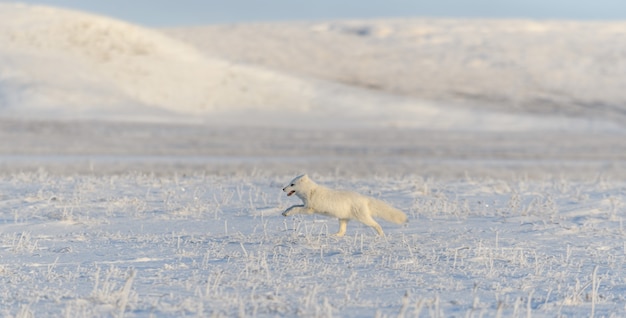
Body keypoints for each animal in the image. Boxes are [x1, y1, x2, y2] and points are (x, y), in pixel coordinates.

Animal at [280, 174, 408, 236]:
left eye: (292, 184)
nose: (283, 189)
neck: (311, 191)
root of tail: (364, 198)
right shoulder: (305, 205)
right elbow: (294, 206)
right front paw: (285, 212)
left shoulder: (310, 209)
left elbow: (296, 209)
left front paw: (287, 213)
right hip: (343, 218)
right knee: (342, 232)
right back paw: (333, 235)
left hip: (362, 218)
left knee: (376, 224)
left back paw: (381, 234)